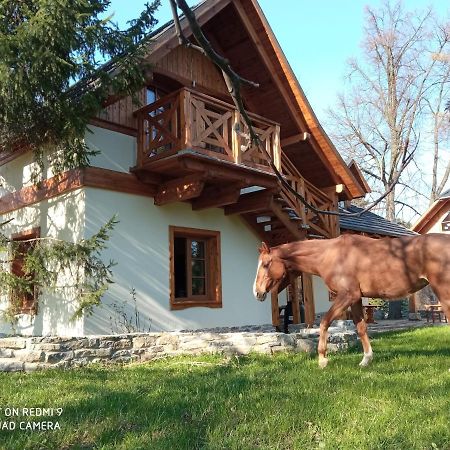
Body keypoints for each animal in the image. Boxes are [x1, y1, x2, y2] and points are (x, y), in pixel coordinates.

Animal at [253, 234, 450, 368]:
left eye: (266, 264)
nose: (256, 292)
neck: (330, 255)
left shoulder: (348, 295)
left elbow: (324, 322)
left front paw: (322, 359)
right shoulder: (356, 299)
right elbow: (361, 328)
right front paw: (366, 359)